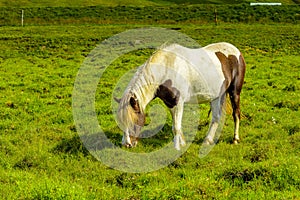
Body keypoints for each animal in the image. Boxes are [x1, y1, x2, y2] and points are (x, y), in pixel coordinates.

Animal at [115, 42, 246, 150]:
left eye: (133, 120)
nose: (127, 144)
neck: (166, 71)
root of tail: (236, 51)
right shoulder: (170, 103)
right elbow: (175, 125)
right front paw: (181, 143)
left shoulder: (178, 102)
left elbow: (176, 127)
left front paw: (177, 147)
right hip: (217, 96)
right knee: (216, 117)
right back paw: (208, 140)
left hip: (235, 92)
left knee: (236, 114)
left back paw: (235, 139)